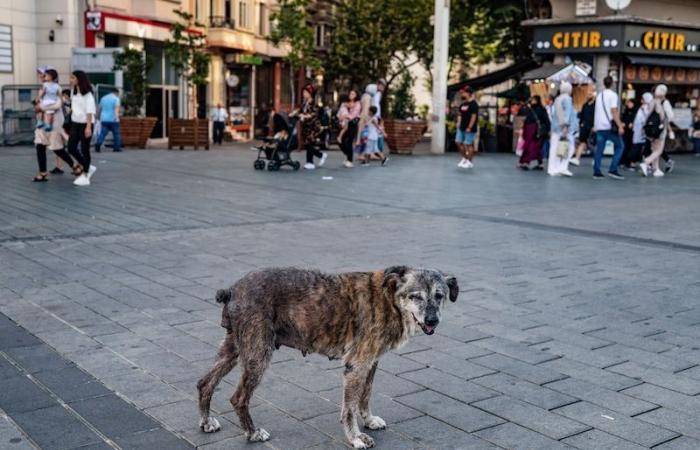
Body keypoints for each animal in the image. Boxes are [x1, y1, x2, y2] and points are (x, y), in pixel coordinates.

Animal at [198, 266, 460, 448]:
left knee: (205, 383)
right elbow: (349, 408)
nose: (432, 320)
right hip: (258, 353)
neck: (389, 299)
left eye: (439, 295)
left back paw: (206, 422)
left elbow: (364, 396)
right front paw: (356, 437)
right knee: (238, 397)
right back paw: (252, 433)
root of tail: (232, 290)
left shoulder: (371, 363)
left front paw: (369, 420)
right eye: (415, 296)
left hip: (233, 349)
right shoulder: (356, 366)